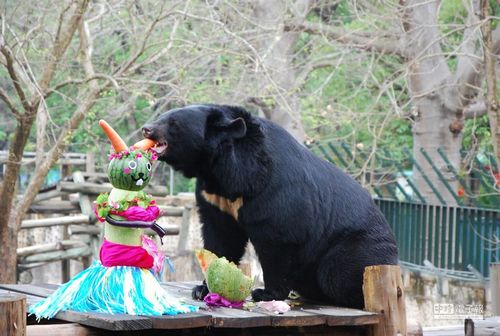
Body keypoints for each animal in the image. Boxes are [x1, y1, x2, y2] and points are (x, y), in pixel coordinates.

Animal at [142, 103, 398, 308]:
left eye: (173, 123)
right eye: (162, 116)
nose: (147, 128)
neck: (219, 169)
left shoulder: (272, 188)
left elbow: (278, 236)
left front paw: (266, 293)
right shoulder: (215, 196)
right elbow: (220, 237)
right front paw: (203, 288)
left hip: (359, 248)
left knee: (337, 275)